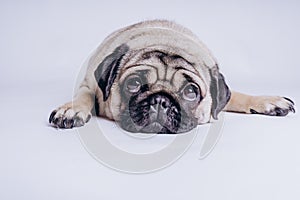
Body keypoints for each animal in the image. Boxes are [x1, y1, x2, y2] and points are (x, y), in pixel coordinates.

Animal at [49, 19, 296, 134]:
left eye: (191, 92)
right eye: (134, 84)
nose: (161, 100)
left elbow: (238, 96)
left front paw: (266, 101)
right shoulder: (88, 85)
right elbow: (84, 96)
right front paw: (72, 110)